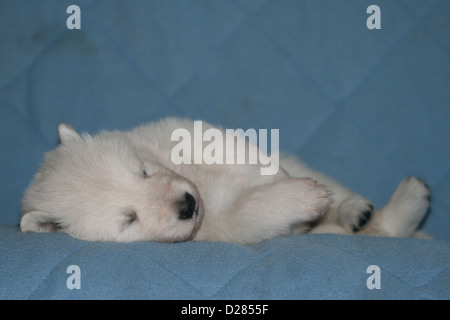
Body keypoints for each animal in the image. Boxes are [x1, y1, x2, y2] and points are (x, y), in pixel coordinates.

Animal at [19, 119, 430, 244]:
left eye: (141, 171)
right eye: (128, 219)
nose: (188, 205)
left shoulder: (176, 132)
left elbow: (228, 147)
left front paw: (274, 174)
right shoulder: (220, 229)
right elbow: (248, 214)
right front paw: (297, 198)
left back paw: (356, 208)